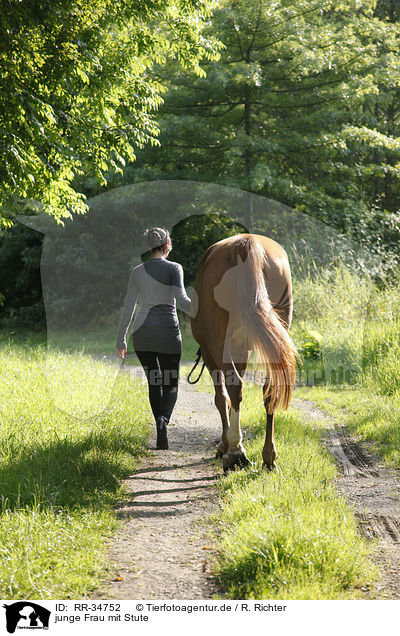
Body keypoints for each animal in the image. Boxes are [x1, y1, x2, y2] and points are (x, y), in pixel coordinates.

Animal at [191, 234, 296, 472]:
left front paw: (224, 444)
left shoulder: (211, 352)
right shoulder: (242, 350)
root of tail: (246, 244)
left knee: (232, 387)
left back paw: (235, 453)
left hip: (218, 343)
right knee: (269, 390)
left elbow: (222, 398)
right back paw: (268, 456)